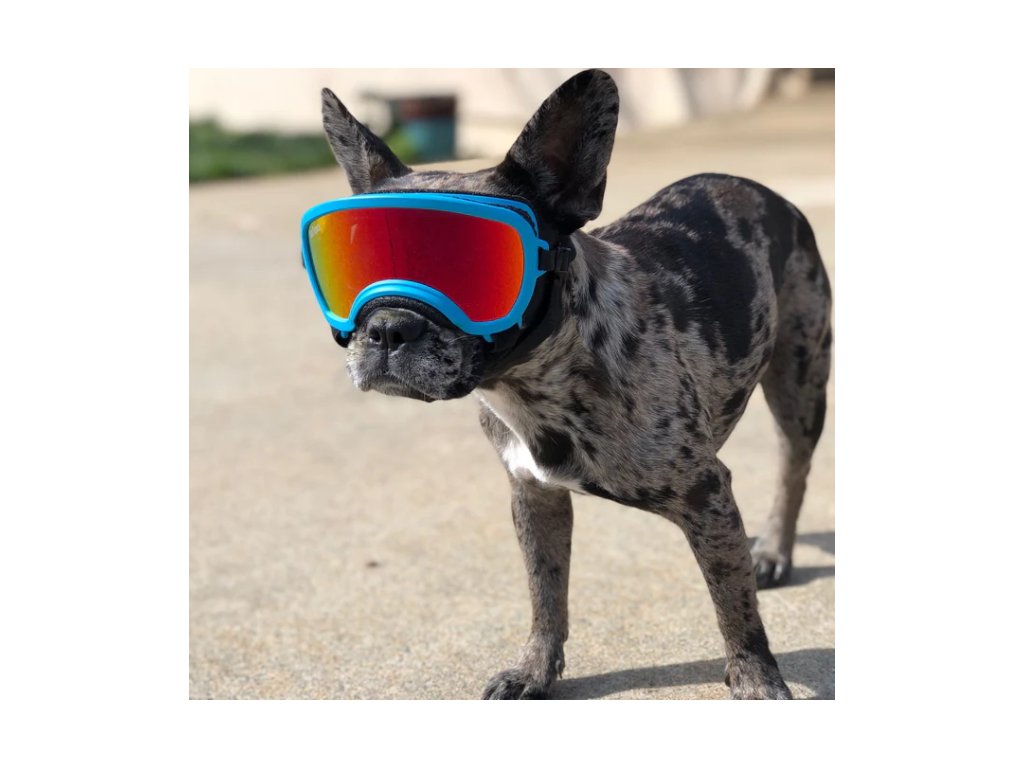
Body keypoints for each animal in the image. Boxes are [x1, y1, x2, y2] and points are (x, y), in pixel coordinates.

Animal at [316, 69, 832, 699]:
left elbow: (734, 604)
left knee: (793, 466)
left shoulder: (707, 495)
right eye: (355, 264)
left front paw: (757, 680)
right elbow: (546, 592)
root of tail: (764, 192)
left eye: (475, 272)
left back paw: (776, 548)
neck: (535, 380)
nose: (387, 327)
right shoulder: (534, 497)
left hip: (800, 382)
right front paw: (535, 668)